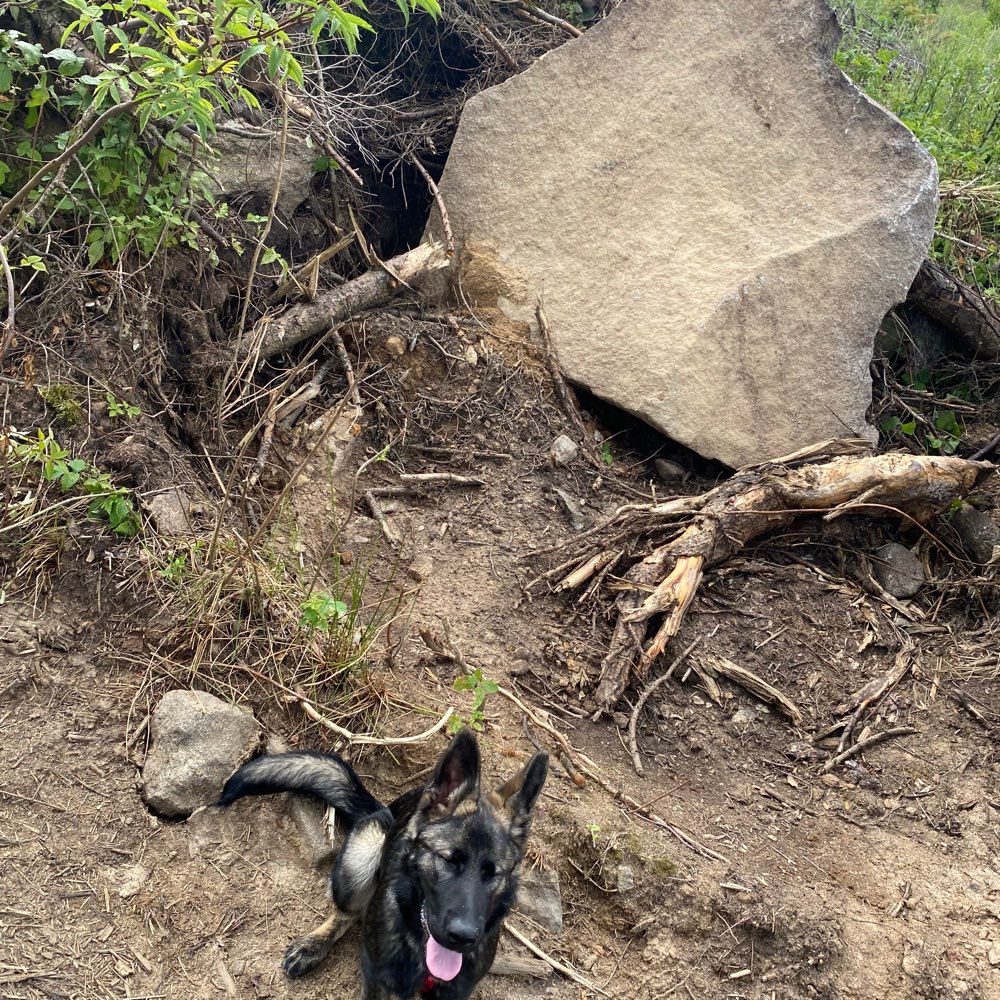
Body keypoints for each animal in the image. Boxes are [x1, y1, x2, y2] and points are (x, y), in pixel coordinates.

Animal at [219, 728, 548, 1000]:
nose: (463, 938)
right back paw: (313, 945)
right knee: (347, 913)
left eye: (493, 874)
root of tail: (382, 810)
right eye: (448, 859)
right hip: (363, 853)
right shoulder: (379, 981)